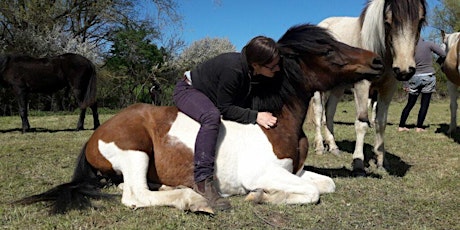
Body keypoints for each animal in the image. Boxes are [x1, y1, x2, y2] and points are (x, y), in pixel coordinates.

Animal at [15, 24, 384, 215]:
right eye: (327, 51)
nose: (378, 61)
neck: (277, 123)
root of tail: (95, 134)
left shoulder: (292, 171)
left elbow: (325, 184)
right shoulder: (264, 172)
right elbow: (310, 193)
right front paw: (260, 196)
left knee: (129, 187)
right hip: (135, 152)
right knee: (135, 196)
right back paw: (193, 199)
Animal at [310, 0, 426, 176]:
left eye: (420, 20)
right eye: (387, 22)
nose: (404, 70)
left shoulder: (387, 89)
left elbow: (381, 122)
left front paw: (381, 161)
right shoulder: (362, 87)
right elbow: (362, 123)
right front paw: (358, 163)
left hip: (338, 87)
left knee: (329, 112)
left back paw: (334, 147)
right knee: (318, 112)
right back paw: (319, 147)